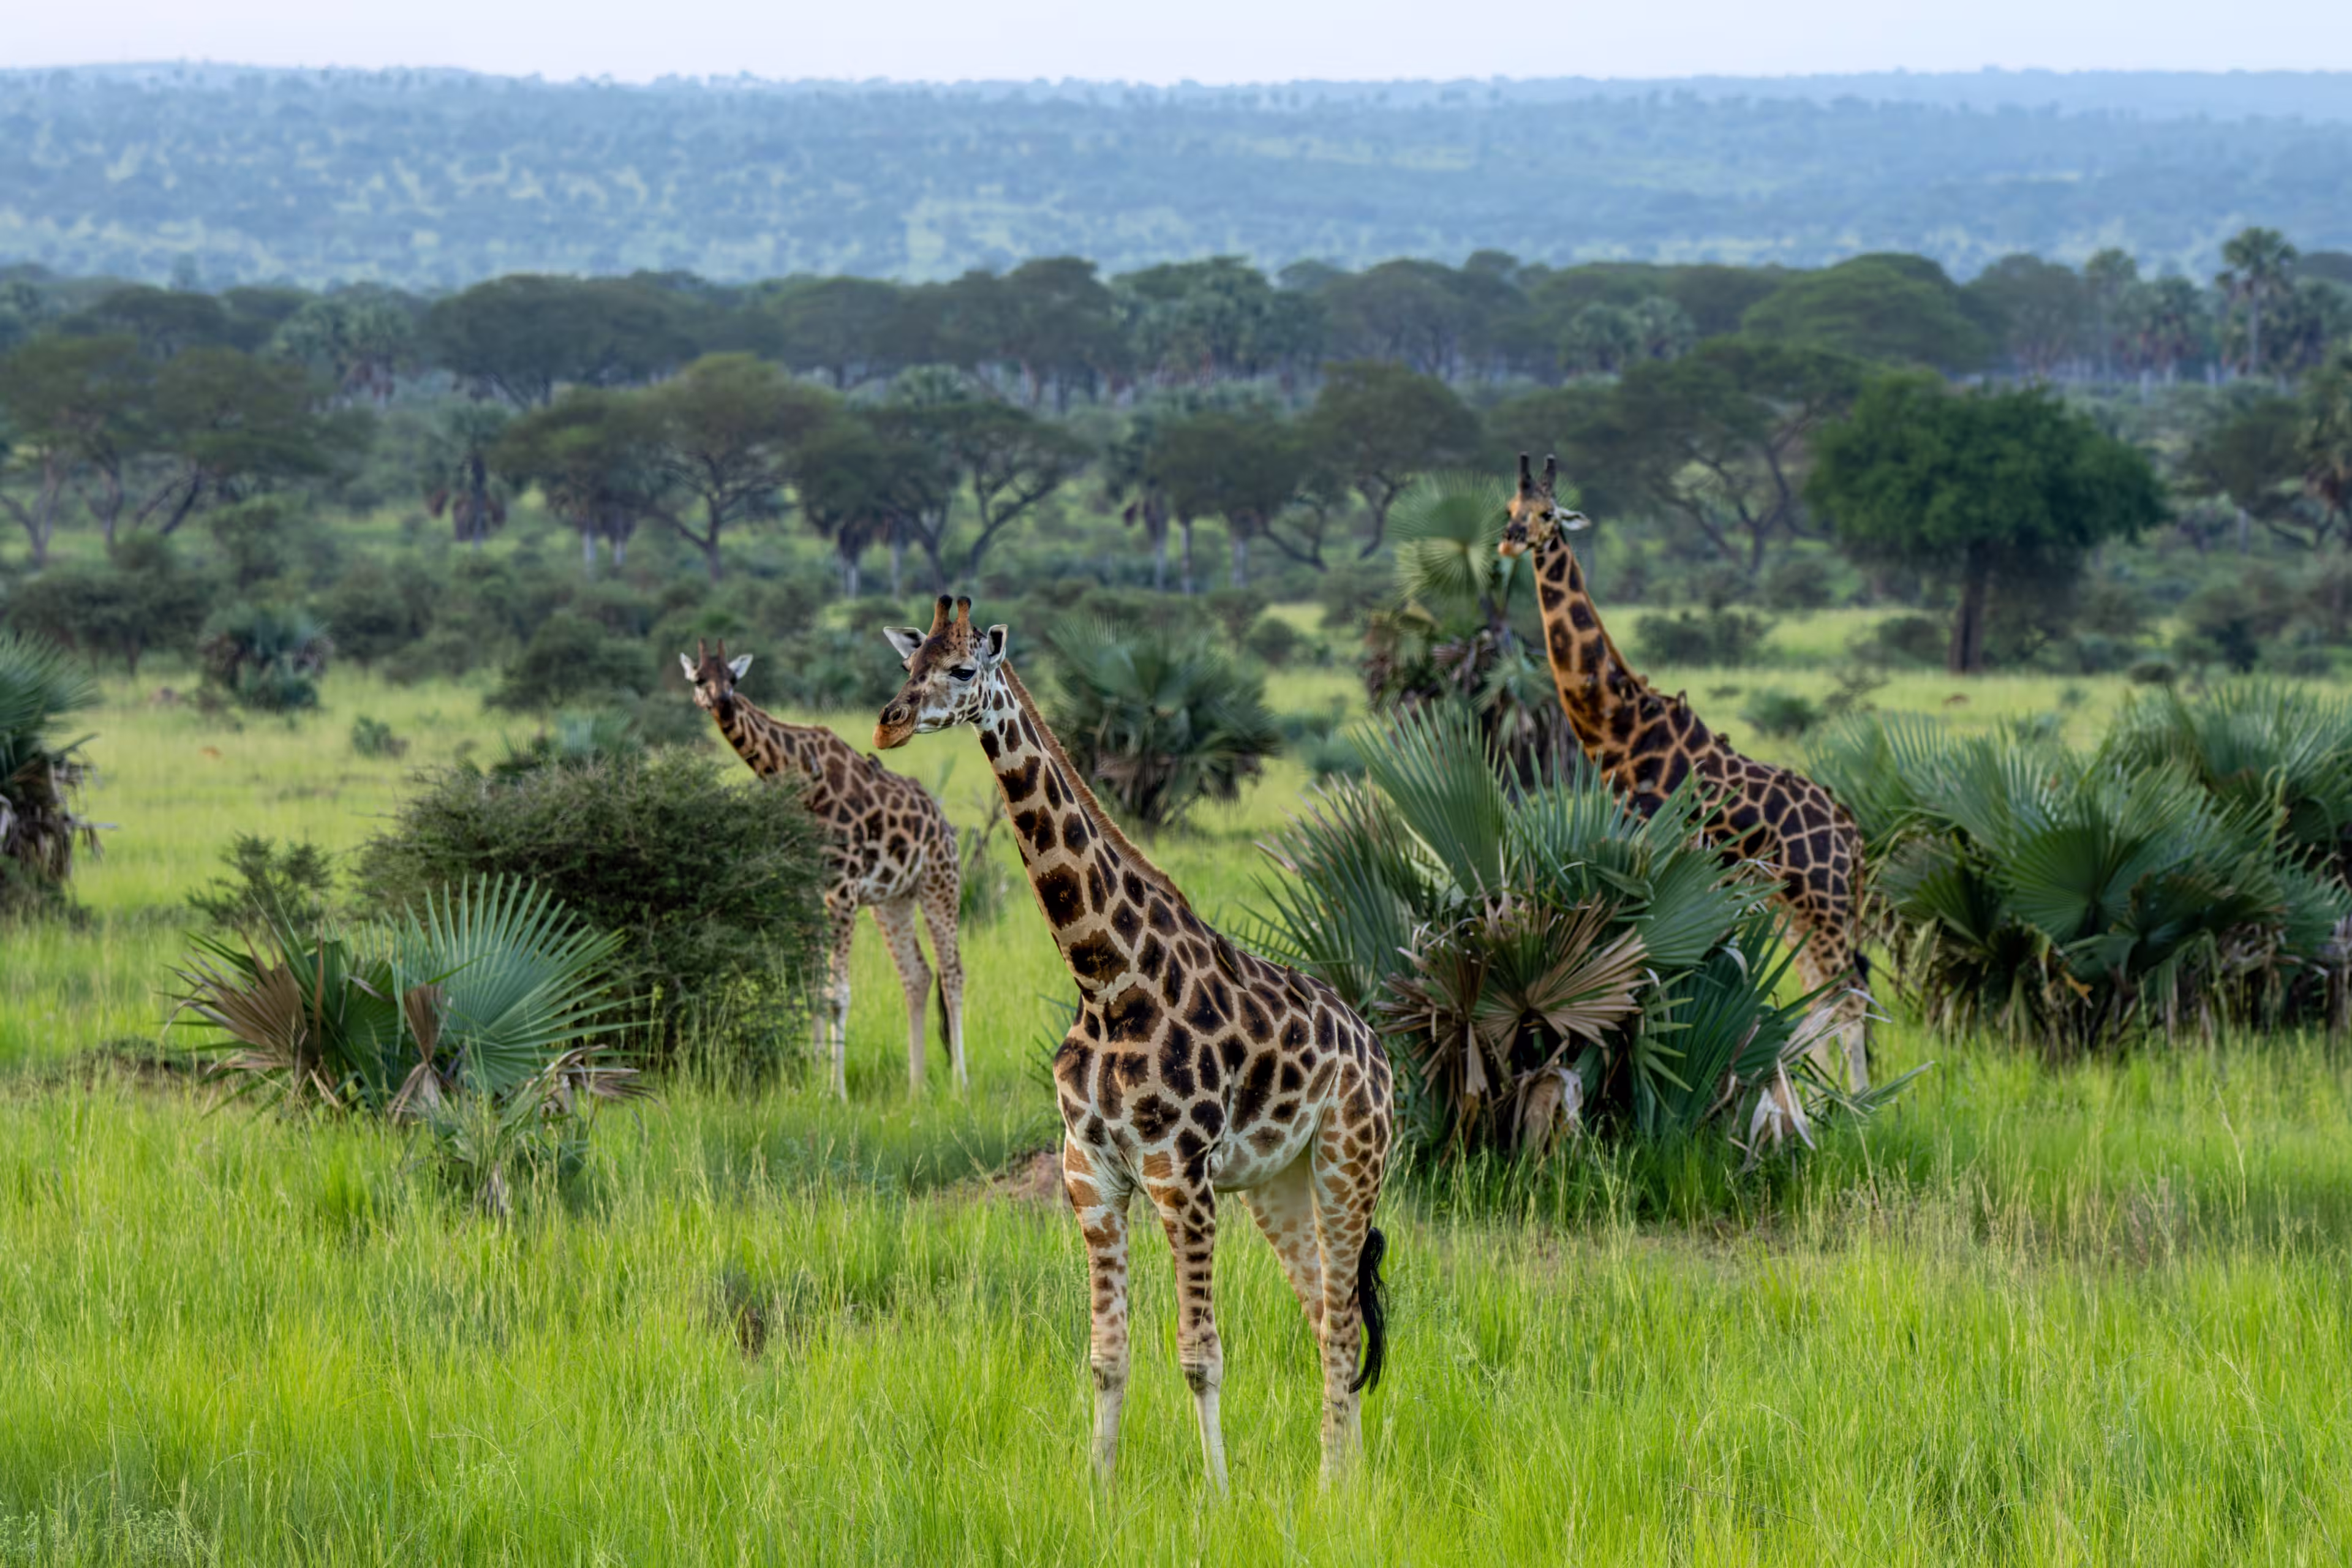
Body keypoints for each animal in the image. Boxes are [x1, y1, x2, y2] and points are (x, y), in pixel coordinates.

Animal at [680, 638, 965, 1098]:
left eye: (734, 678)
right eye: (699, 679)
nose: (722, 703)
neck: (794, 776)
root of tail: (944, 823)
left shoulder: (842, 888)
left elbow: (837, 993)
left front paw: (838, 1091)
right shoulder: (806, 890)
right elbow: (813, 985)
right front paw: (814, 1080)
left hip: (940, 883)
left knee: (953, 974)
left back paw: (960, 1083)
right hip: (894, 900)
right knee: (918, 976)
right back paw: (916, 1086)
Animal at [875, 595, 1394, 1489]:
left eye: (963, 669)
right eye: (910, 664)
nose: (889, 723)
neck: (1107, 980)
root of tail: (1381, 1055)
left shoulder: (1180, 1175)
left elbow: (1200, 1354)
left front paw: (1219, 1497)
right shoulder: (1091, 1172)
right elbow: (1106, 1356)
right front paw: (1100, 1488)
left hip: (1349, 1161)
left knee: (1342, 1320)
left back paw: (1334, 1487)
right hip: (1278, 1184)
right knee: (1328, 1308)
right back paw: (1345, 1478)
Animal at [1499, 455, 1873, 1097]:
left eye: (1547, 514)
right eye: (1510, 508)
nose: (1511, 539)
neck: (1622, 734)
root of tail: (1851, 838)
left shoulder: (1660, 855)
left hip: (1824, 903)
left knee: (1849, 999)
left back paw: (1861, 1106)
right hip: (1797, 910)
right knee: (1825, 1000)